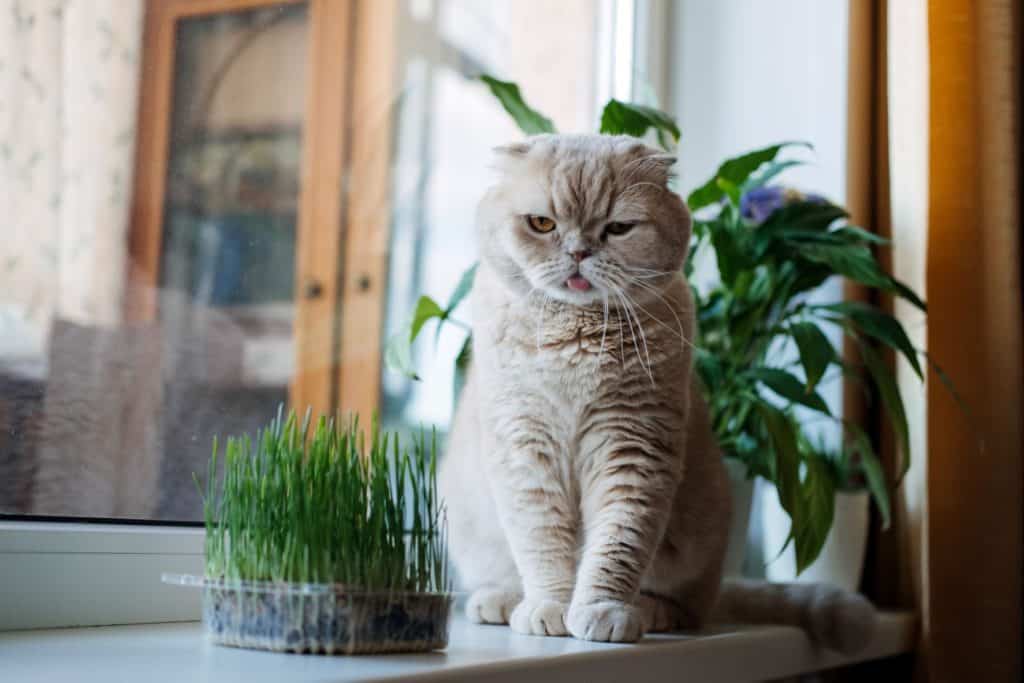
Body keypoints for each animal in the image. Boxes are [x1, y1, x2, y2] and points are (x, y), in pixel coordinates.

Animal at [436, 133, 876, 651]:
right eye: (542, 224)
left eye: (618, 228)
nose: (579, 252)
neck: (576, 336)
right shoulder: (526, 447)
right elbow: (542, 540)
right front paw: (551, 606)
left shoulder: (632, 445)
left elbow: (617, 543)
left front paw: (602, 611)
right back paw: (501, 600)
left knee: (686, 607)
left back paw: (649, 610)